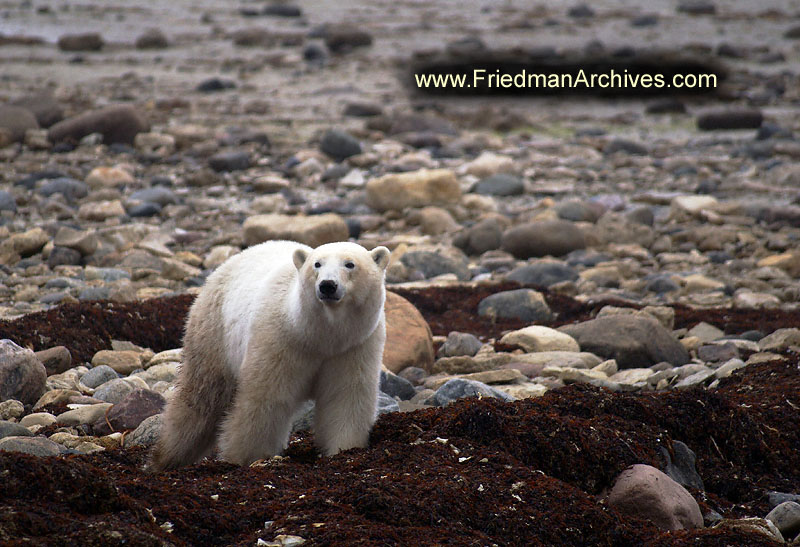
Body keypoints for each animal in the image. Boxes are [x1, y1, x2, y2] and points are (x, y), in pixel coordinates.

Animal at [151, 240, 390, 470]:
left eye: (350, 264)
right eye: (317, 264)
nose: (327, 285)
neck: (317, 336)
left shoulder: (354, 347)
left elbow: (345, 397)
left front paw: (345, 449)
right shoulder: (280, 340)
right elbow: (266, 399)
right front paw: (249, 457)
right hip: (215, 333)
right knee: (202, 399)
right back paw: (166, 457)